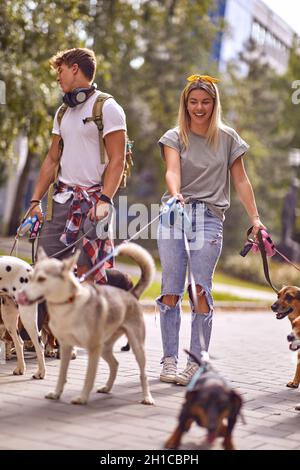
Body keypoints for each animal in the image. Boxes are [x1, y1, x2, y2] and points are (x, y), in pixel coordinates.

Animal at [17, 244, 155, 406]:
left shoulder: (93, 349)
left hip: (136, 347)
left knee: (143, 374)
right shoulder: (66, 346)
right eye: (30, 278)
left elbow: (89, 377)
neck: (69, 305)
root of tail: (130, 294)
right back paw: (107, 388)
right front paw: (57, 393)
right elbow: (62, 374)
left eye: (42, 279)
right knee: (115, 364)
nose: (21, 295)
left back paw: (147, 397)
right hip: (105, 347)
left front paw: (82, 397)